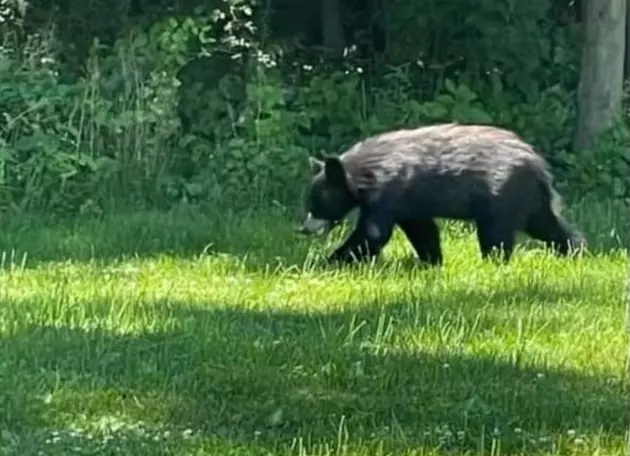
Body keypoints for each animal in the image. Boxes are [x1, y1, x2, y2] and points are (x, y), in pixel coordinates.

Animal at [296, 121, 588, 266]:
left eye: (317, 204)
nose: (304, 229)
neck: (366, 173)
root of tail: (539, 166)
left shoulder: (389, 191)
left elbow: (373, 232)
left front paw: (329, 260)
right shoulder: (408, 202)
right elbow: (422, 228)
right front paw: (432, 260)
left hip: (503, 192)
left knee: (496, 232)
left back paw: (493, 263)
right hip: (529, 199)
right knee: (547, 226)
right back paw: (576, 250)